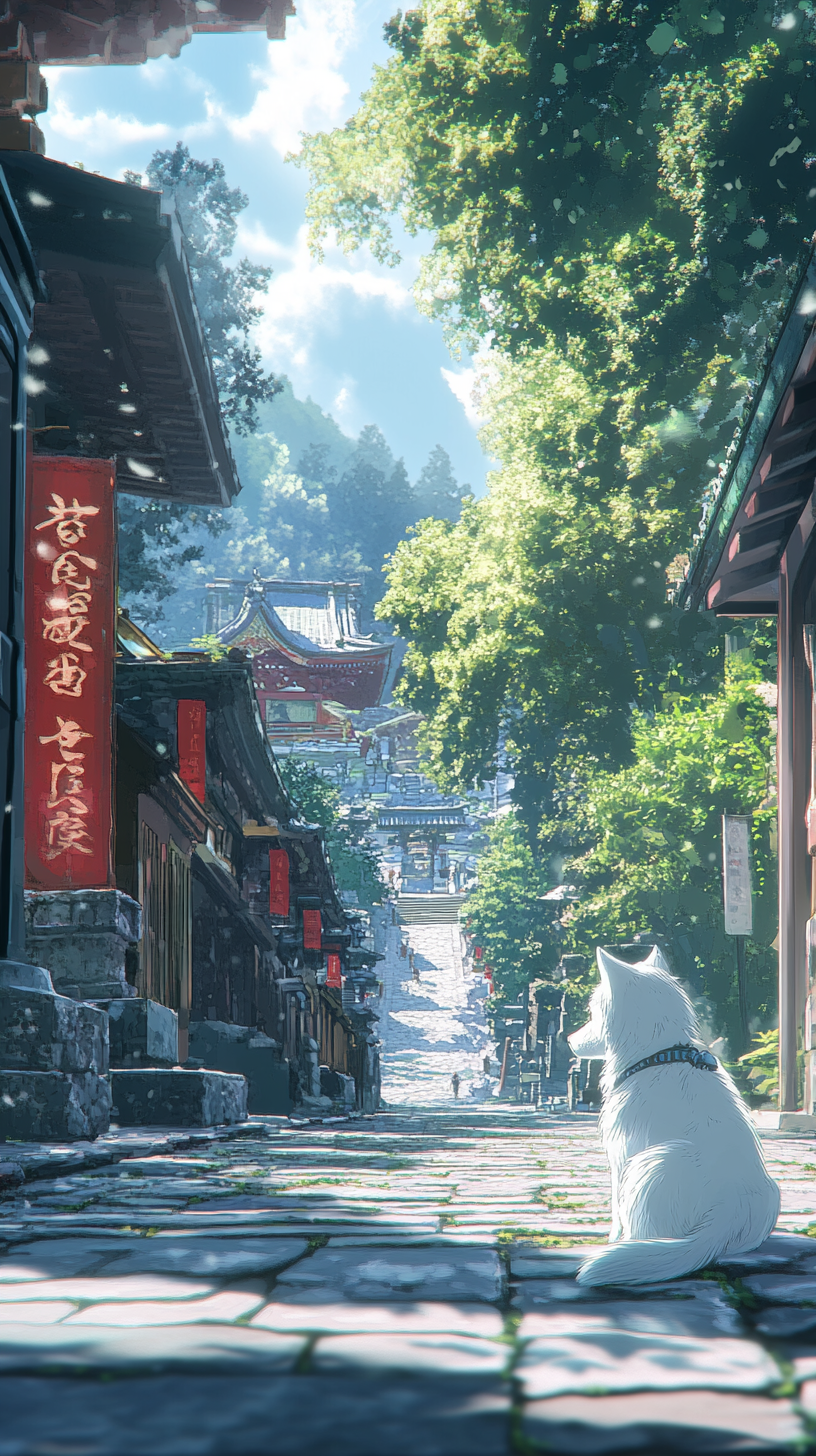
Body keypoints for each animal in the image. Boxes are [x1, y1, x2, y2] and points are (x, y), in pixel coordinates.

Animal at [568, 943, 775, 1287]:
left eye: (593, 1011)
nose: (569, 1041)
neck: (661, 1055)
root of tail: (722, 1224)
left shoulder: (620, 1155)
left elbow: (616, 1209)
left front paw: (612, 1240)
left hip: (652, 1163)